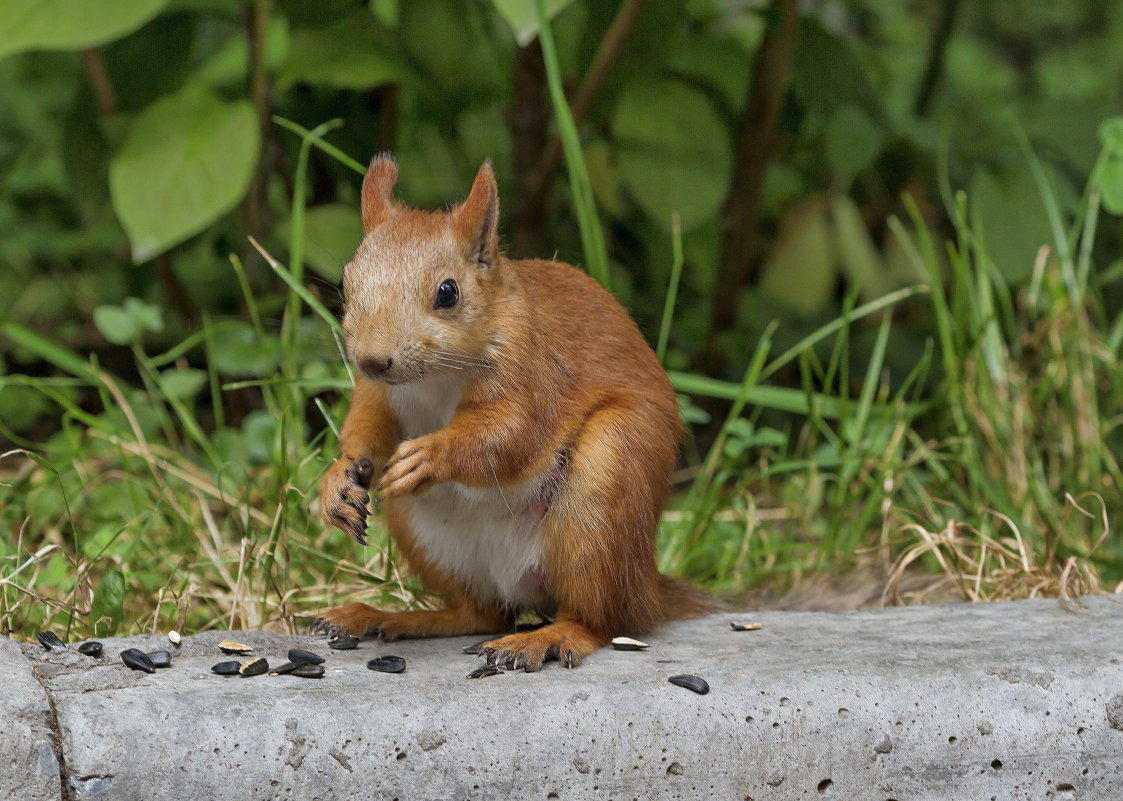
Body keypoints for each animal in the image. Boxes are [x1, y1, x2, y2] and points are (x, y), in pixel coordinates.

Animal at [312, 155, 705, 669]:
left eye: (448, 292)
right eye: (345, 282)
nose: (374, 360)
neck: (434, 378)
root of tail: (646, 588)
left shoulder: (532, 370)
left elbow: (510, 434)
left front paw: (431, 455)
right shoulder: (378, 393)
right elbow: (366, 429)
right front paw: (336, 482)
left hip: (605, 486)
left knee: (597, 619)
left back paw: (546, 638)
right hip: (431, 541)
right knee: (482, 613)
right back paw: (390, 618)